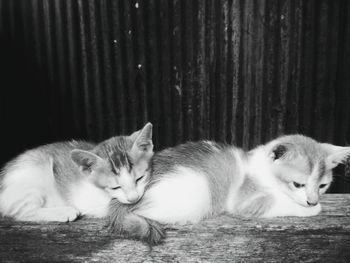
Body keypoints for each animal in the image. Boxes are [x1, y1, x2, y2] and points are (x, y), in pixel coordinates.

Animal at [0, 124, 153, 223]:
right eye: (115, 187)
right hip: (33, 175)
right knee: (22, 212)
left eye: (139, 178)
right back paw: (64, 212)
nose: (133, 198)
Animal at [108, 136, 350, 245]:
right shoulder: (248, 200)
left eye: (322, 185)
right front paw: (313, 209)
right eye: (298, 184)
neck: (261, 169)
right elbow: (278, 202)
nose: (312, 200)